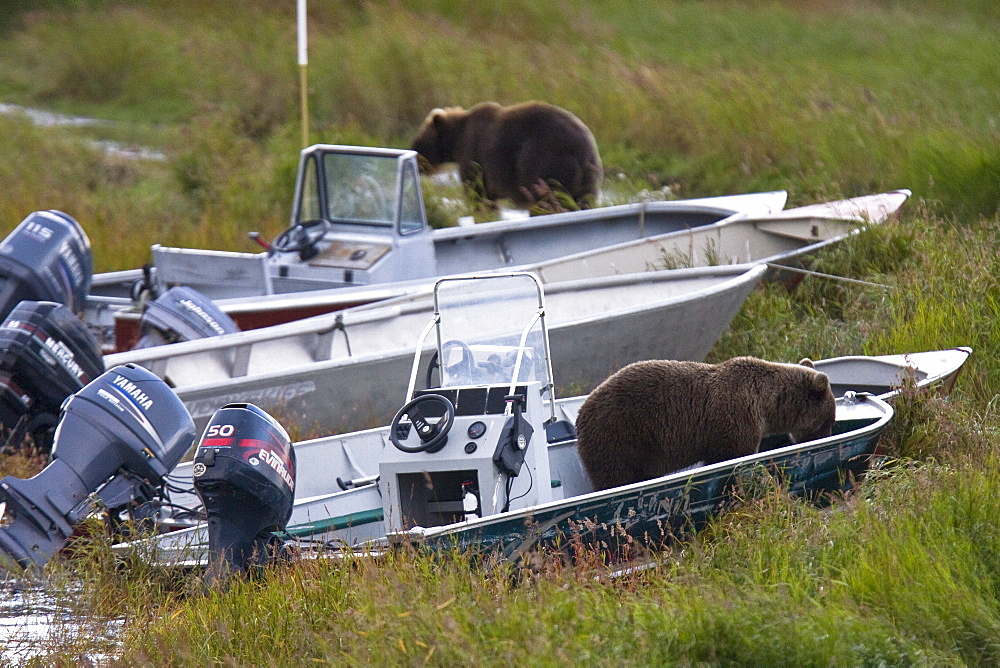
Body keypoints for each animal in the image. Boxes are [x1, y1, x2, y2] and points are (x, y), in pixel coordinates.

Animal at [412, 100, 600, 211]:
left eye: (417, 142)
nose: (417, 164)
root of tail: (584, 153)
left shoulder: (475, 154)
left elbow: (476, 192)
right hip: (587, 180)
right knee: (582, 201)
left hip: (546, 161)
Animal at [572, 358, 836, 494]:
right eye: (829, 420)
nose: (823, 437)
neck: (766, 403)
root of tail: (580, 416)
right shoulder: (735, 420)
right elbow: (731, 456)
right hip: (621, 436)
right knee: (617, 476)